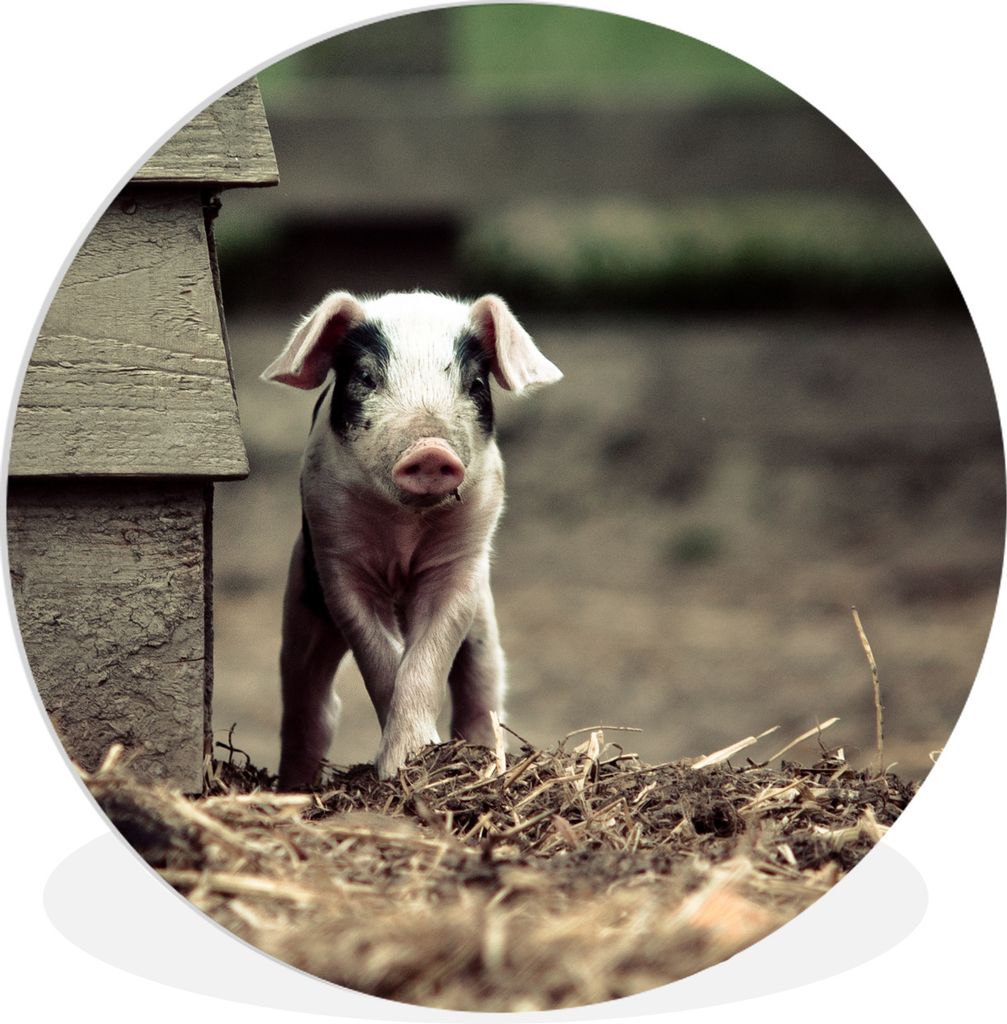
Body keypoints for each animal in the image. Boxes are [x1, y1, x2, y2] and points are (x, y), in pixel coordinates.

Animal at [262, 290, 563, 786]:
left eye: (474, 383)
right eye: (366, 377)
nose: (430, 450)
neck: (405, 533)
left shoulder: (462, 562)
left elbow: (426, 658)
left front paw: (416, 759)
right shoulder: (336, 556)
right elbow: (382, 657)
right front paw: (397, 767)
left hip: (484, 617)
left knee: (483, 687)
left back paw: (489, 763)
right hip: (300, 601)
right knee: (311, 703)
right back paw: (295, 788)